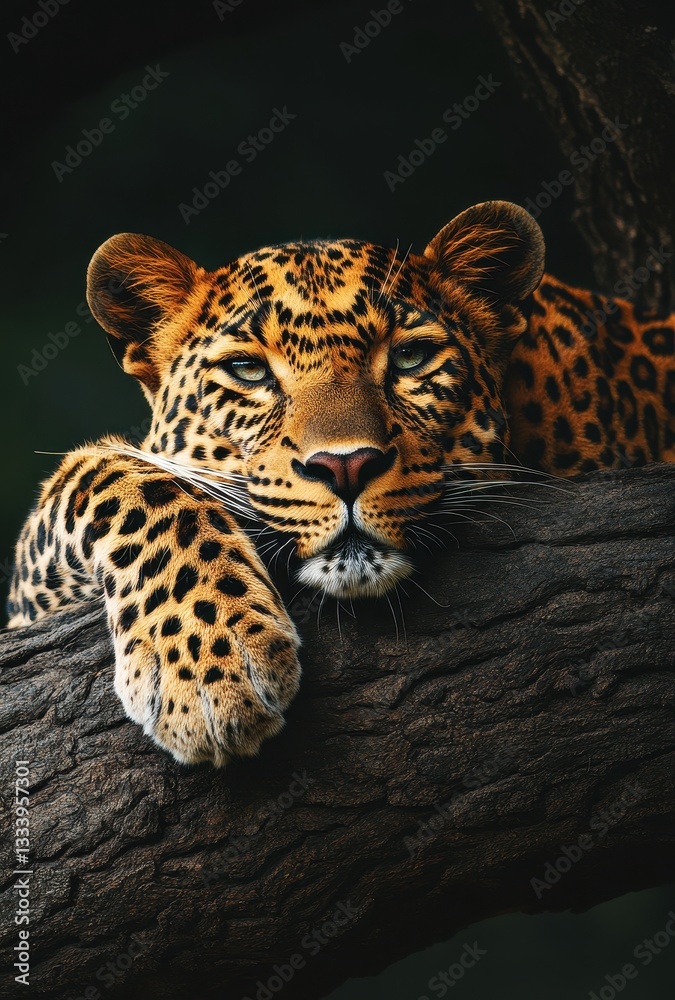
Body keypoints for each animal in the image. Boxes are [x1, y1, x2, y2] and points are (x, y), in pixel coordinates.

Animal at [7, 200, 675, 766]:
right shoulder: (27, 603)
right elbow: (111, 472)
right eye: (247, 370)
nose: (346, 466)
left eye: (409, 359)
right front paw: (208, 670)